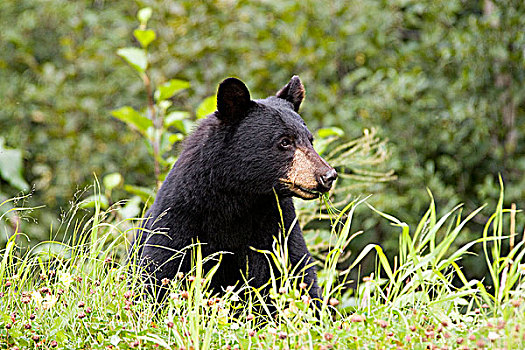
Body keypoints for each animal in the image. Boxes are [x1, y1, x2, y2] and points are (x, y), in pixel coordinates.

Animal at [136, 76, 336, 304]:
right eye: (285, 142)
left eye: (310, 140)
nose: (328, 175)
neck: (239, 197)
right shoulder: (179, 216)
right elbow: (160, 270)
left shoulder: (279, 222)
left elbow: (298, 271)